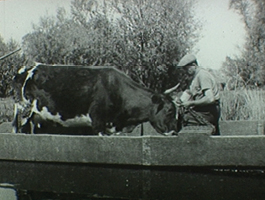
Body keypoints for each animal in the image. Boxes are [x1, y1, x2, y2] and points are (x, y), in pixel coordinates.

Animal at [12, 63, 177, 136]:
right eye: (170, 110)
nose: (175, 131)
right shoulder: (98, 122)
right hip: (23, 107)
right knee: (17, 125)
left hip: (36, 115)